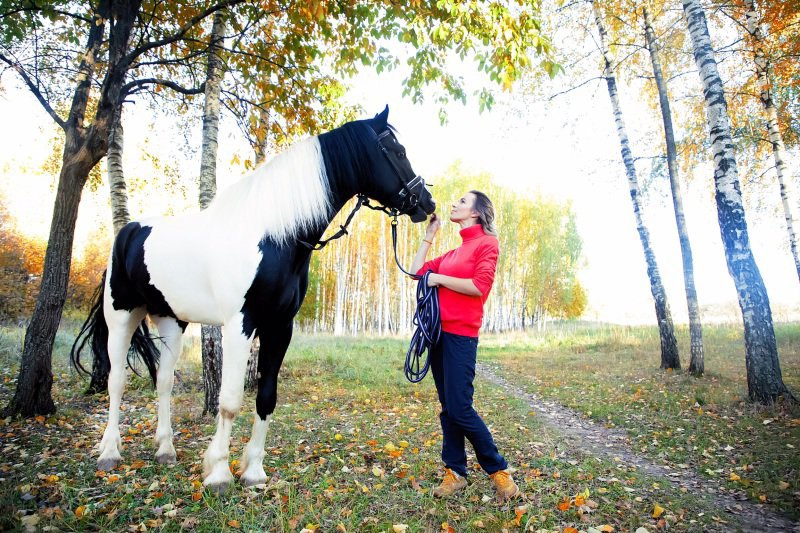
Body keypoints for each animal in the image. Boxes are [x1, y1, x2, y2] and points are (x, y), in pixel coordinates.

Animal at [72, 107, 434, 490]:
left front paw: (254, 471)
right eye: (397, 151)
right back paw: (109, 452)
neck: (273, 236)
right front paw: (218, 472)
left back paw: (166, 450)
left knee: (165, 382)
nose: (427, 202)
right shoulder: (240, 325)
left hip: (171, 321)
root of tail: (128, 232)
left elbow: (266, 396)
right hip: (121, 318)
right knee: (116, 381)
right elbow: (230, 400)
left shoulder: (280, 326)